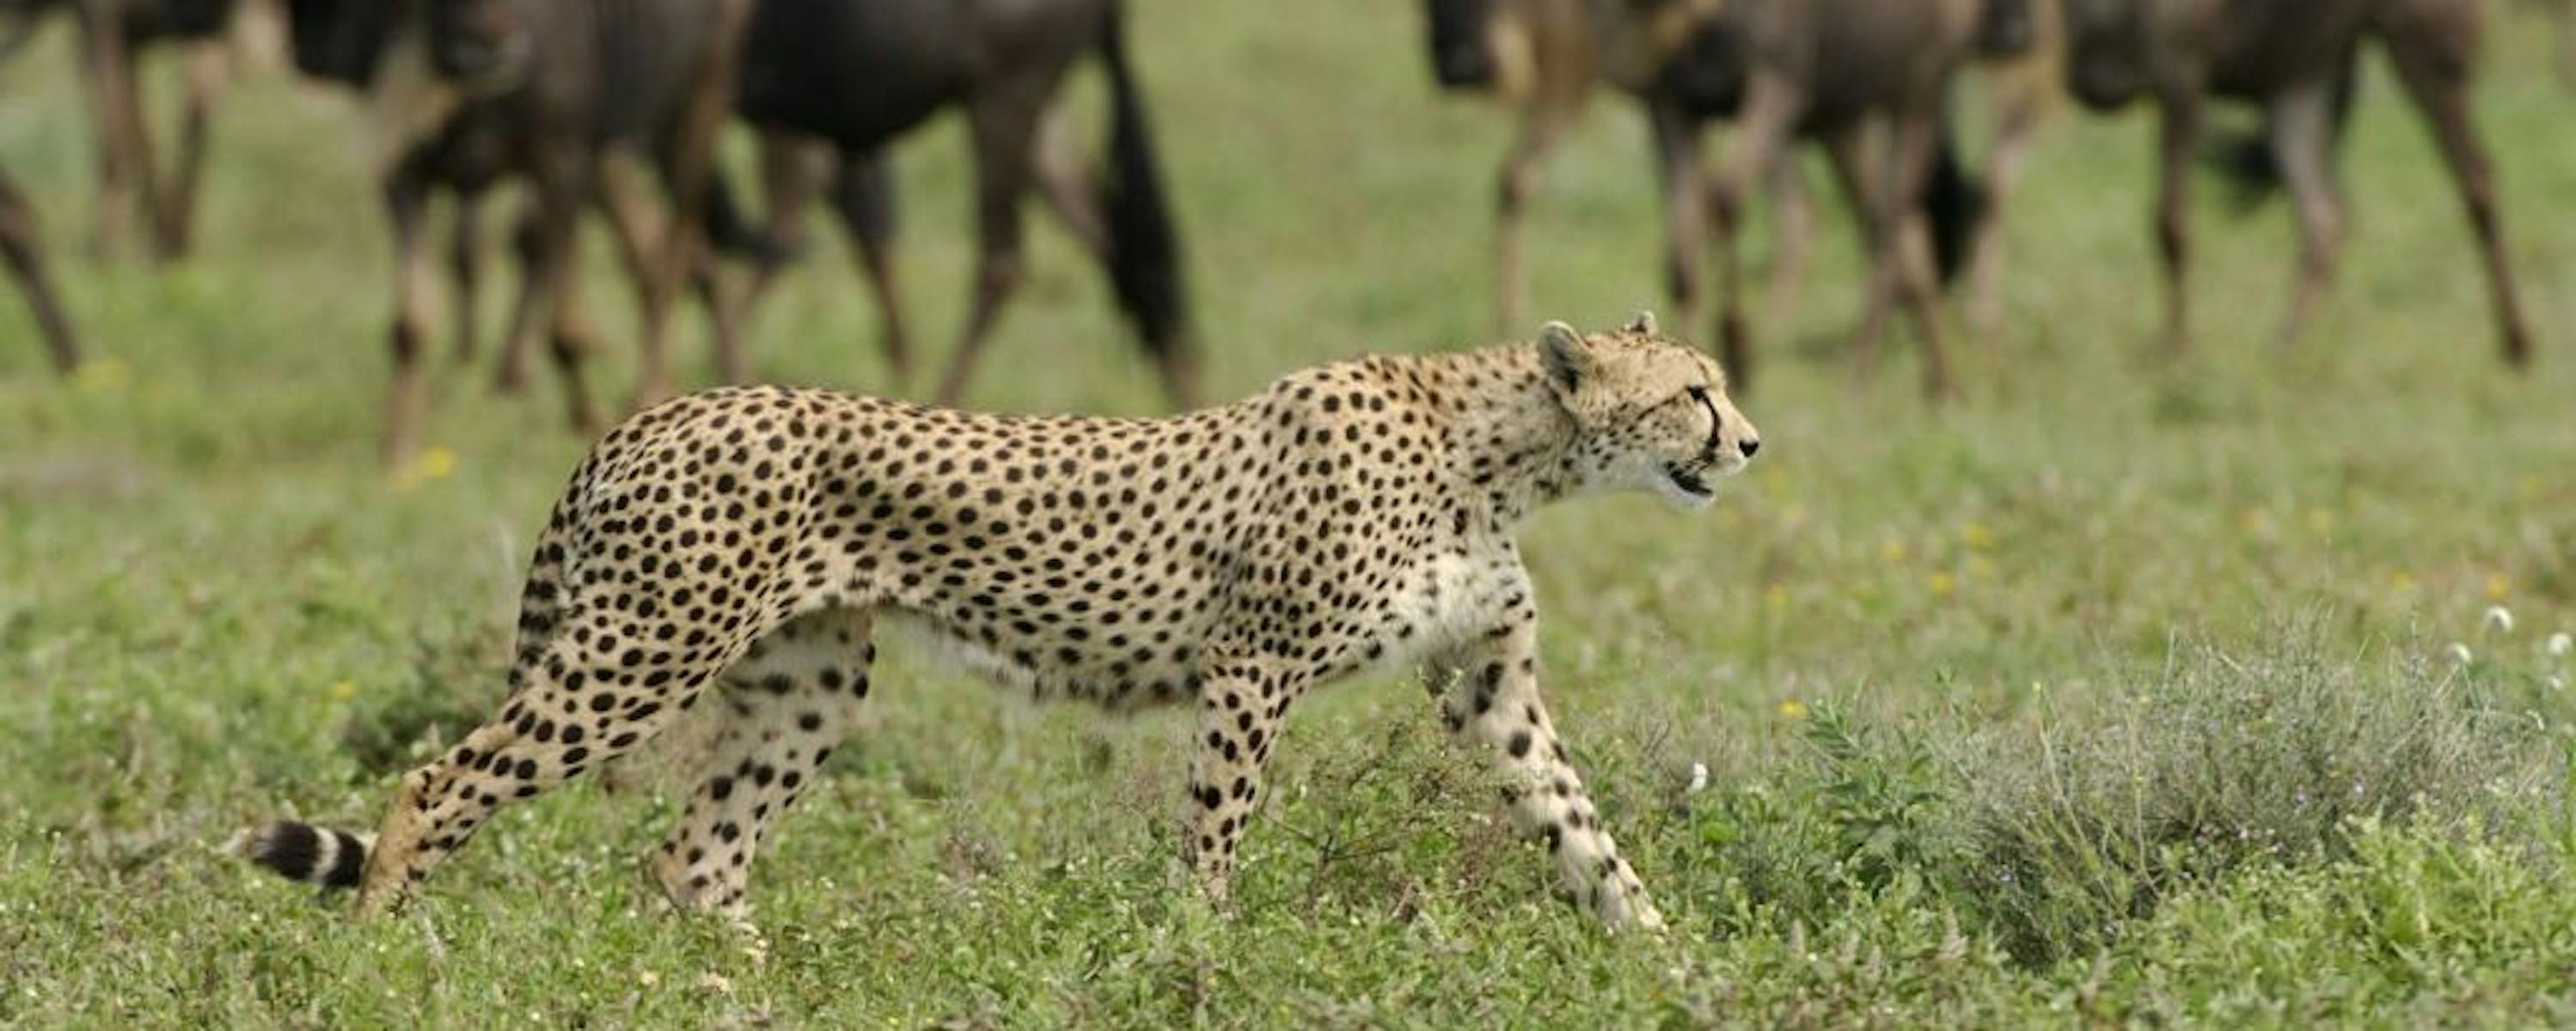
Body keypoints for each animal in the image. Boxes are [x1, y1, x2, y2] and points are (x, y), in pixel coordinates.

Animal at [242, 312, 1761, 936]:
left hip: (807, 682)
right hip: (643, 651)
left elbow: (1584, 831)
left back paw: (757, 988)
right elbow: (1214, 840)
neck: (1501, 452)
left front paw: (1669, 959)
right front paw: (1204, 958)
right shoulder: (1252, 665)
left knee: (691, 859)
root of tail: (658, 408)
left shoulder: (1484, 682)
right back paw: (393, 960)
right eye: (1691, 390)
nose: (1750, 441)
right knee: (436, 784)